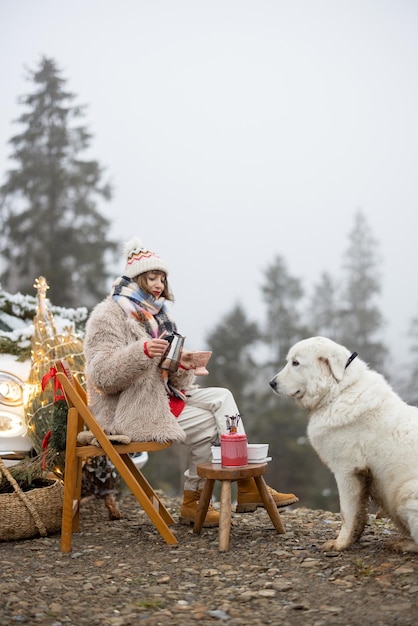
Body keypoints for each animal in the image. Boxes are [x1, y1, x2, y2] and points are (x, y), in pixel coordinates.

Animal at [270, 336, 418, 552]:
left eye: (295, 363)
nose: (271, 383)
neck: (338, 391)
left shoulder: (347, 470)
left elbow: (346, 512)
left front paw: (340, 544)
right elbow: (359, 514)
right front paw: (353, 538)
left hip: (406, 492)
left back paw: (403, 543)